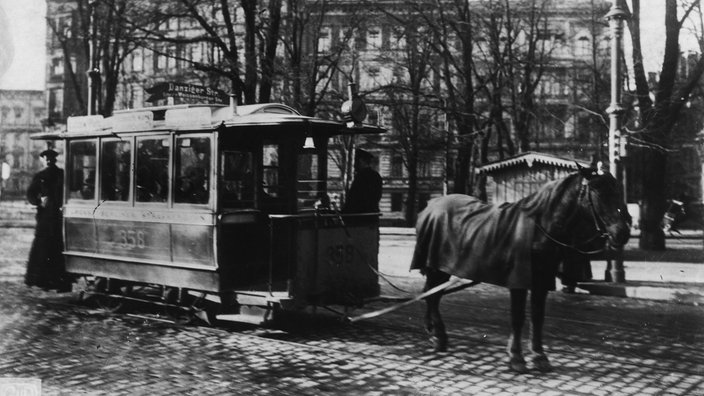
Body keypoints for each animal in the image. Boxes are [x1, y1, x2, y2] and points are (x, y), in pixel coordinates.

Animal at [410, 166, 628, 374]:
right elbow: (518, 317)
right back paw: (438, 336)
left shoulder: (541, 282)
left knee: (432, 295)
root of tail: (430, 205)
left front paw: (539, 357)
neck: (539, 229)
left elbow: (537, 317)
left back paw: (435, 333)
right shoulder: (518, 282)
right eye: (597, 191)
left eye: (618, 190)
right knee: (432, 296)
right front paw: (516, 358)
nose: (622, 233)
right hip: (436, 267)